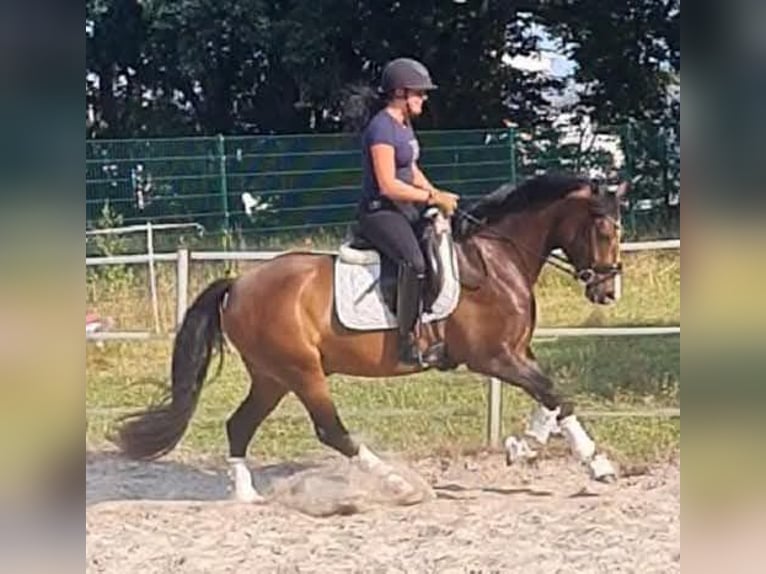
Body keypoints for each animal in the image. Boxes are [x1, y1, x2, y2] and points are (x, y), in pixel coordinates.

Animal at [115, 173, 632, 502]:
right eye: (605, 229)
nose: (608, 290)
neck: (496, 258)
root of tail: (238, 284)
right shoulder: (495, 357)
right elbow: (556, 394)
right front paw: (568, 459)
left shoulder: (518, 352)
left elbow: (553, 400)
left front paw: (540, 451)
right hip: (301, 372)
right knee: (331, 431)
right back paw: (398, 486)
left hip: (271, 376)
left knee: (238, 426)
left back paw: (247, 497)